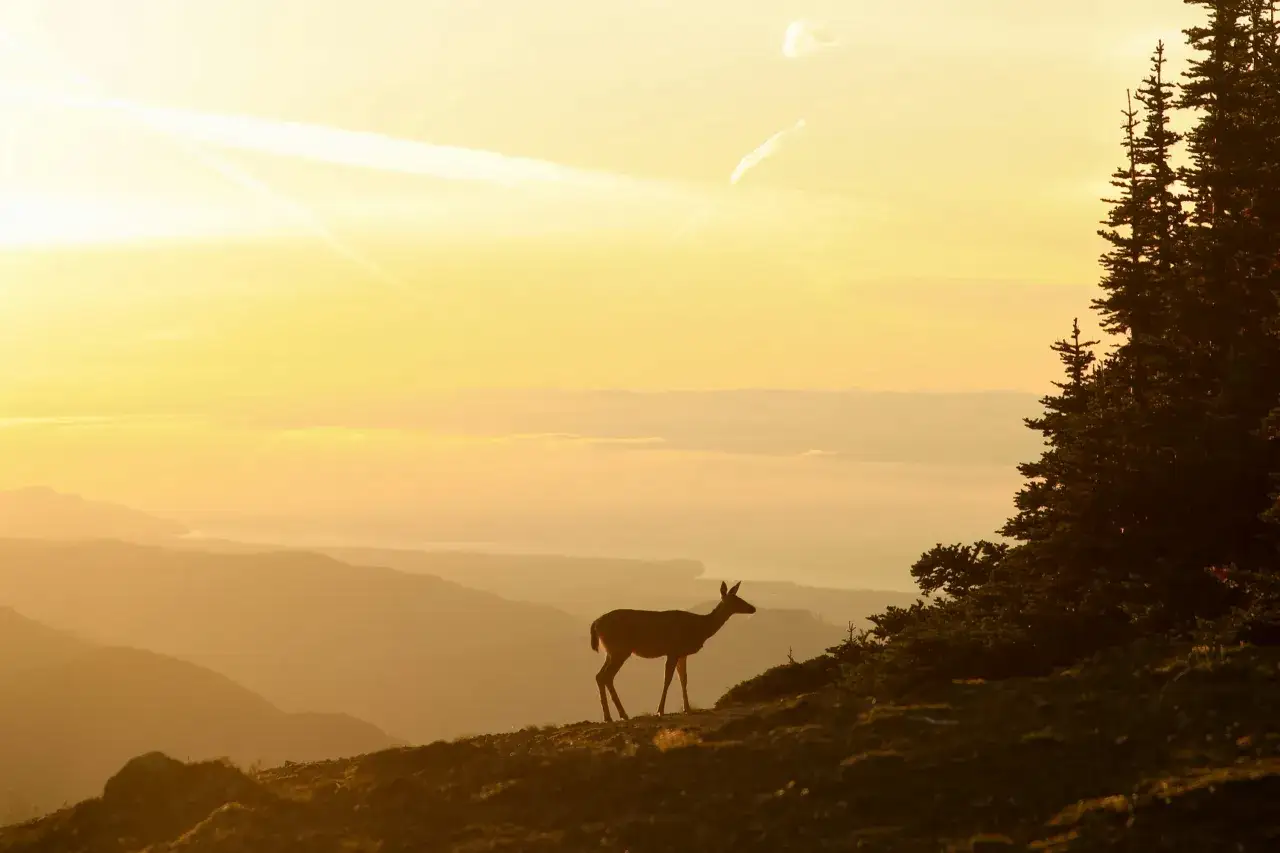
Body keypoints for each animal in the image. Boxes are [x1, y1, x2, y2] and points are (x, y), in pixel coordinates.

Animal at [589, 581, 757, 722]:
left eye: (739, 597)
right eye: (736, 600)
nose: (752, 608)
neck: (700, 628)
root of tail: (595, 624)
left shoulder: (682, 654)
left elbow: (684, 679)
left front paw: (688, 709)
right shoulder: (673, 650)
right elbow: (667, 679)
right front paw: (660, 711)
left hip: (611, 651)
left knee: (600, 676)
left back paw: (611, 716)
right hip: (620, 649)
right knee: (606, 676)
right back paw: (619, 715)